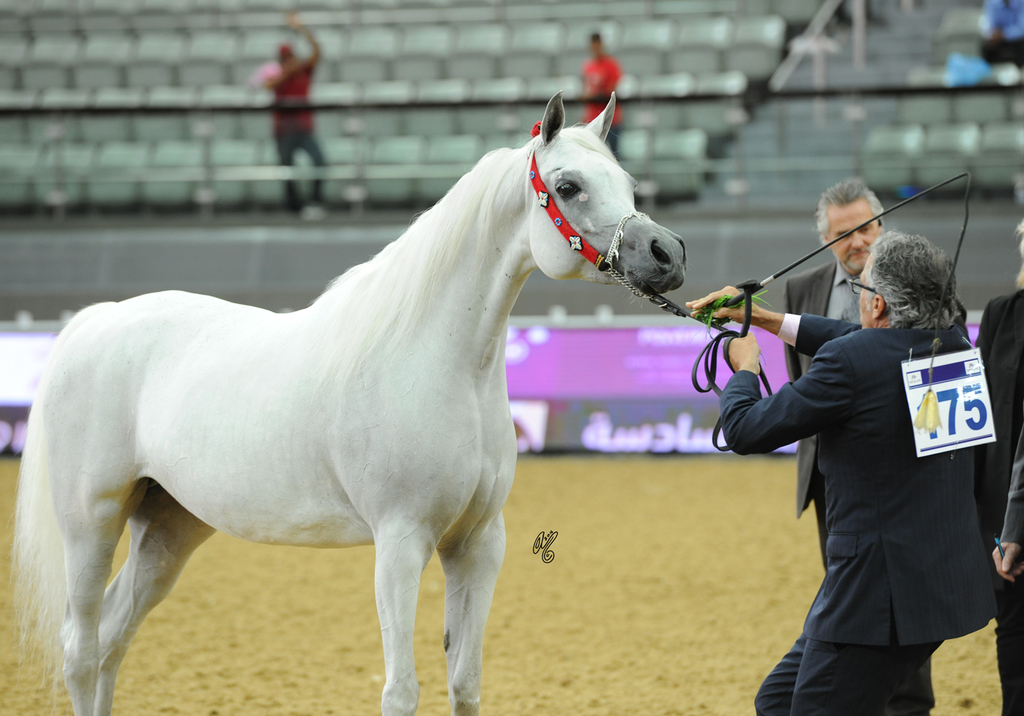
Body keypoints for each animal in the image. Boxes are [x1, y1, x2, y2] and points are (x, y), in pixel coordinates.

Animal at [12, 93, 686, 716]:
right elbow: (401, 692)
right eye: (569, 186)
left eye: (628, 182)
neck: (438, 362)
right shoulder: (400, 543)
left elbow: (465, 684)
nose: (668, 254)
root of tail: (96, 320)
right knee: (80, 650)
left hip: (169, 526)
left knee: (111, 640)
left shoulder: (478, 544)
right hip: (92, 521)